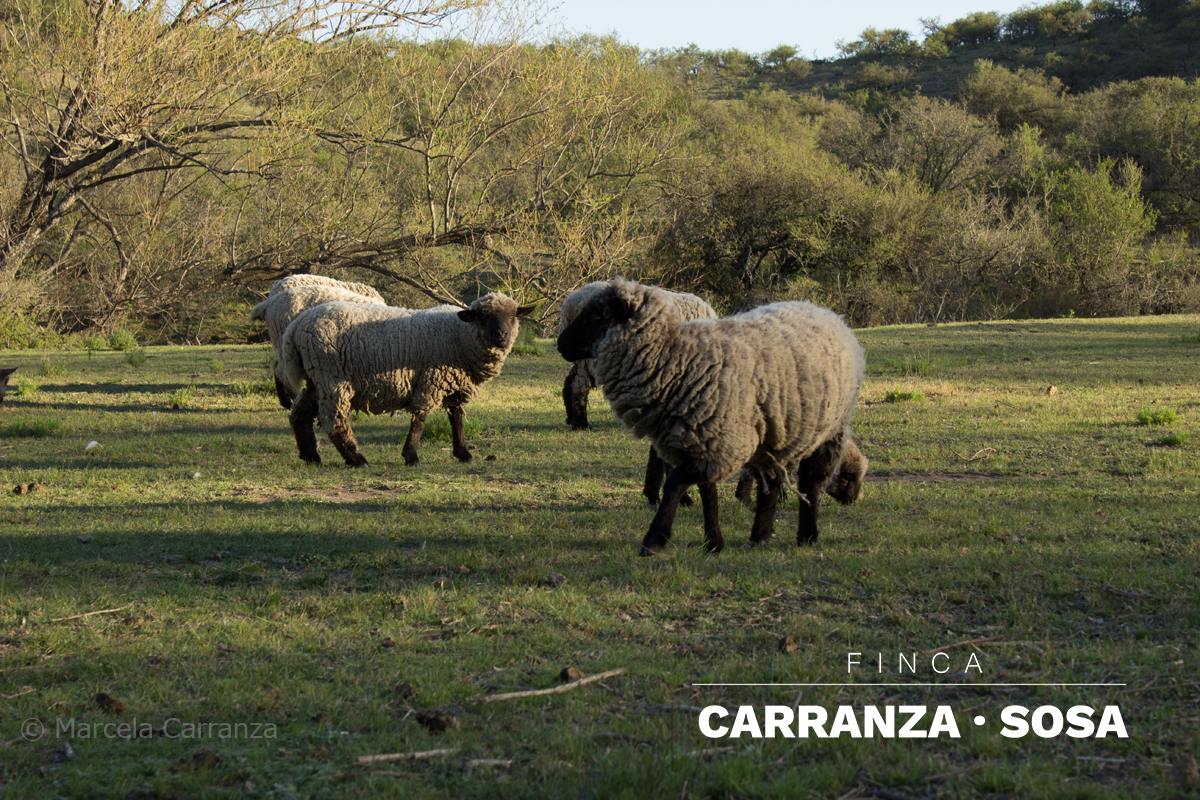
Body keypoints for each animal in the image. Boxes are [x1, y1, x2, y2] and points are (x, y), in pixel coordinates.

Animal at [280, 293, 532, 467]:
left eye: (512, 316)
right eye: (483, 318)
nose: (502, 336)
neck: (460, 336)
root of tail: (295, 327)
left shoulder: (455, 385)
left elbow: (456, 418)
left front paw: (463, 453)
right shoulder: (431, 381)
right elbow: (420, 419)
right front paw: (411, 456)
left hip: (316, 380)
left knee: (299, 415)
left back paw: (311, 456)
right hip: (332, 378)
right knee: (334, 422)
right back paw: (356, 459)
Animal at [557, 279, 864, 555]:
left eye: (598, 314)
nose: (560, 345)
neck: (677, 362)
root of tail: (823, 311)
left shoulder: (721, 443)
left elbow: (678, 481)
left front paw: (655, 538)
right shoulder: (701, 438)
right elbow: (706, 490)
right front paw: (713, 541)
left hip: (828, 429)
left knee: (811, 482)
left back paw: (806, 535)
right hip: (777, 432)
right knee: (775, 480)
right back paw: (761, 536)